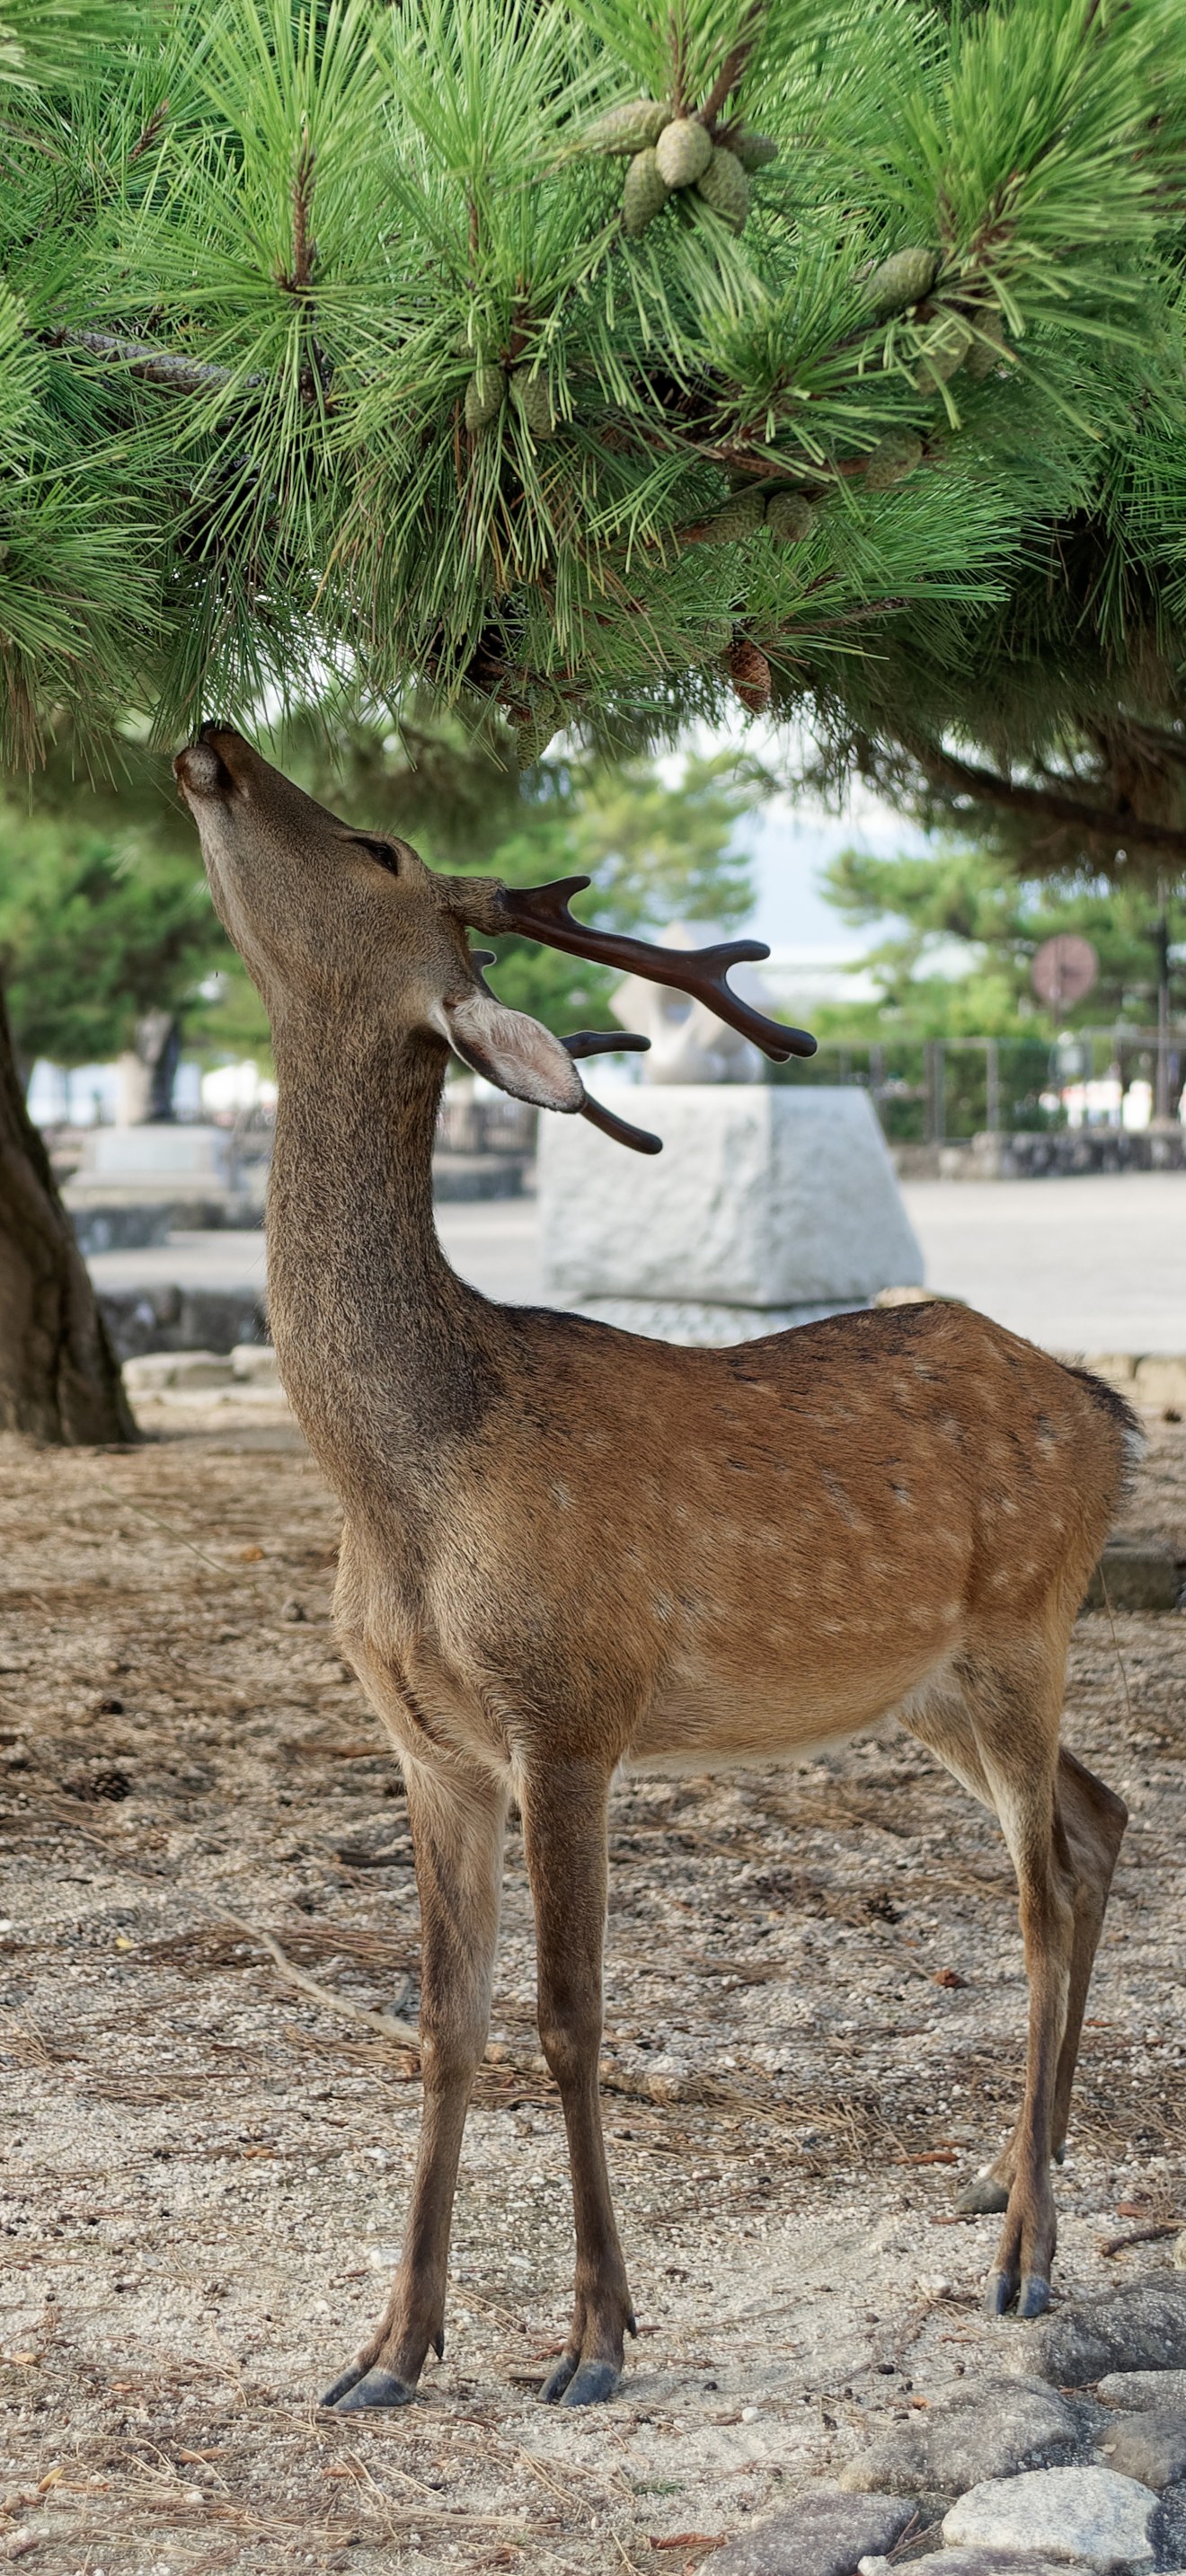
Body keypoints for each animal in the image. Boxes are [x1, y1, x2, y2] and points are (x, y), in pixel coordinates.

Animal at [174, 723, 1136, 2413]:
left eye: (374, 846)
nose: (216, 744)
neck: (413, 1479)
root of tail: (1106, 1407)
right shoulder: (430, 1744)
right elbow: (444, 2024)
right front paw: (388, 2352)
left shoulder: (571, 1703)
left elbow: (569, 2017)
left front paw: (595, 2340)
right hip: (935, 1685)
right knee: (1102, 1820)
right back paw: (1021, 2179)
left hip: (1026, 1625)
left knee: (1033, 1891)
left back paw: (1025, 2251)